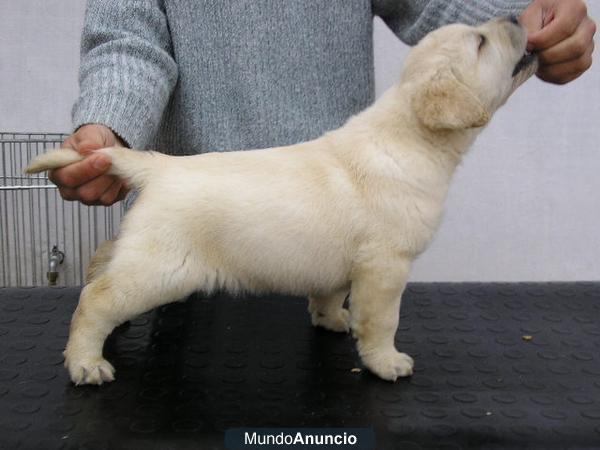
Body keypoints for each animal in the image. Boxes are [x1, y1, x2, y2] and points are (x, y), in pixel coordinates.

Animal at [25, 16, 536, 384]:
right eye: (480, 43)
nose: (516, 15)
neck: (410, 135)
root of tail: (160, 166)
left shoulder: (348, 263)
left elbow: (329, 293)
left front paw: (331, 319)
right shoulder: (386, 265)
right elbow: (382, 321)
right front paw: (385, 361)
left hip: (138, 251)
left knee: (99, 265)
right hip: (159, 269)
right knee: (95, 300)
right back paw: (85, 362)